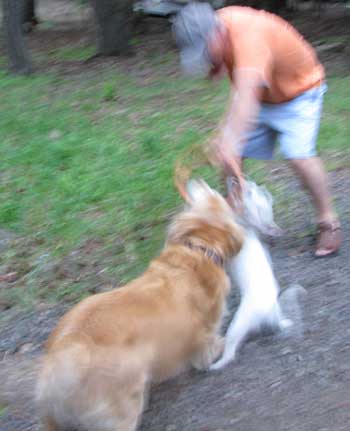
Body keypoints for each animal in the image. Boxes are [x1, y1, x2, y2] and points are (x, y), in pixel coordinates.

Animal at [35, 179, 243, 431]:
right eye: (213, 194)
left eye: (207, 192)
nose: (198, 180)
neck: (198, 250)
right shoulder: (205, 336)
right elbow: (211, 346)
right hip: (126, 399)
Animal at [211, 180, 298, 372]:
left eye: (247, 192)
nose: (234, 180)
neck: (245, 227)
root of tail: (270, 310)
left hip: (238, 325)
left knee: (230, 351)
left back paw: (216, 365)